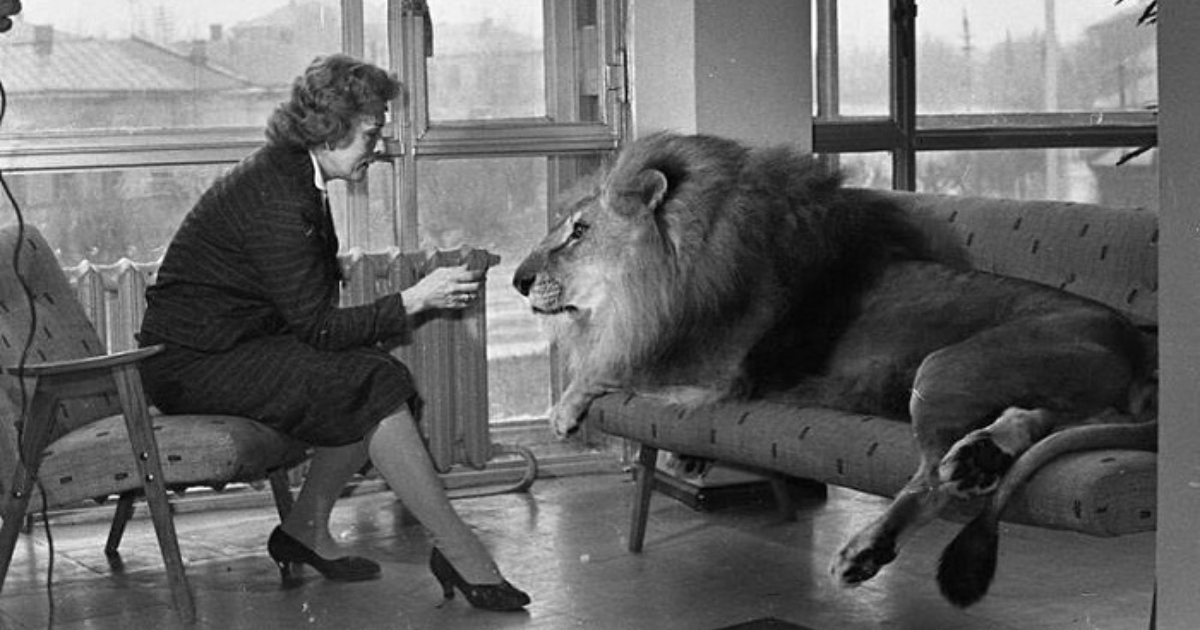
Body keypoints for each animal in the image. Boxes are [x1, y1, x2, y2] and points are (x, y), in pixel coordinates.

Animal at [511, 131, 1157, 607]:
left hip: (941, 369)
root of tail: (1133, 341)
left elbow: (619, 367)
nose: (516, 281)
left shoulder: (721, 367)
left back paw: (872, 545)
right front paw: (686, 458)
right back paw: (981, 456)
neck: (672, 276)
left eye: (579, 232)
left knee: (930, 482)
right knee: (1035, 421)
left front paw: (565, 409)